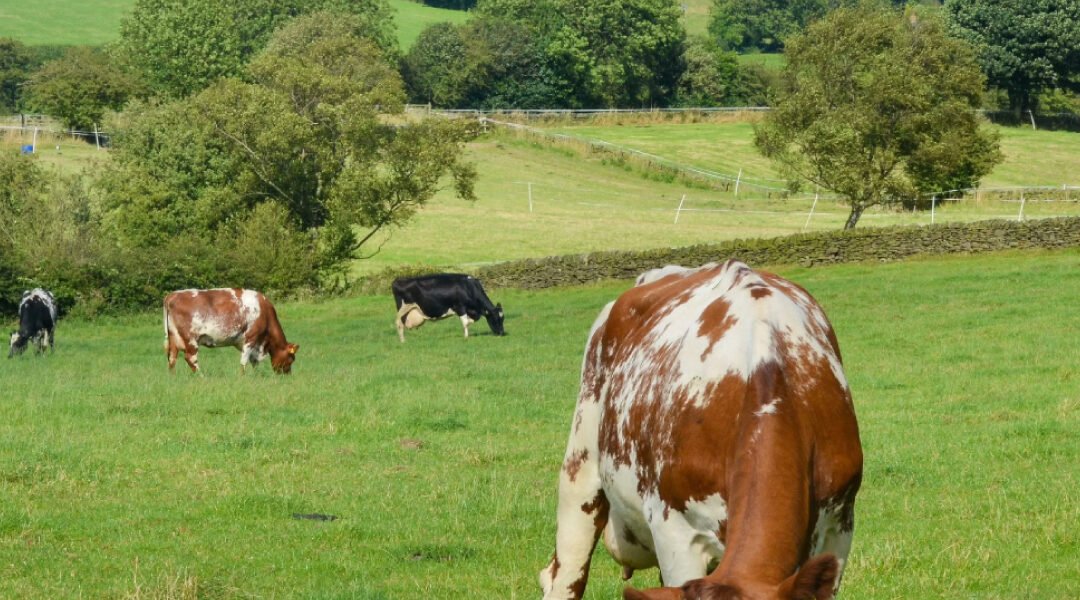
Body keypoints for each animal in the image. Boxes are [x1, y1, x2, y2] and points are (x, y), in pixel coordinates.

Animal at [163, 288, 299, 374]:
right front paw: (242, 377)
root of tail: (172, 295)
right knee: (190, 358)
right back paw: (202, 377)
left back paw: (173, 377)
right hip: (190, 339)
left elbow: (253, 361)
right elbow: (244, 361)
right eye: (291, 359)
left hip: (173, 336)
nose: (287, 375)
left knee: (172, 358)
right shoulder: (251, 337)